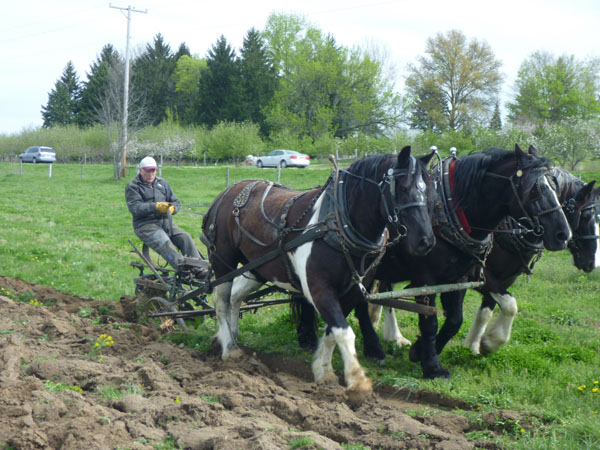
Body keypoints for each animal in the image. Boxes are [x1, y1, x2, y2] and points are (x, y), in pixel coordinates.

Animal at [203, 146, 436, 396]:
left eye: (428, 189)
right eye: (402, 188)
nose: (426, 241)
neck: (338, 224)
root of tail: (226, 193)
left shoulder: (352, 290)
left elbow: (333, 331)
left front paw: (323, 371)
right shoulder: (318, 288)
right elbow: (344, 331)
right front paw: (357, 380)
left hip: (257, 269)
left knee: (235, 297)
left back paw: (229, 336)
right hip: (223, 263)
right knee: (221, 302)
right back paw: (229, 348)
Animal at [296, 146, 572, 378]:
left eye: (556, 188)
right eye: (535, 190)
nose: (563, 234)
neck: (452, 211)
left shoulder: (460, 278)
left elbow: (457, 320)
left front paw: (425, 350)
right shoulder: (429, 279)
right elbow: (431, 321)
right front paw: (434, 363)